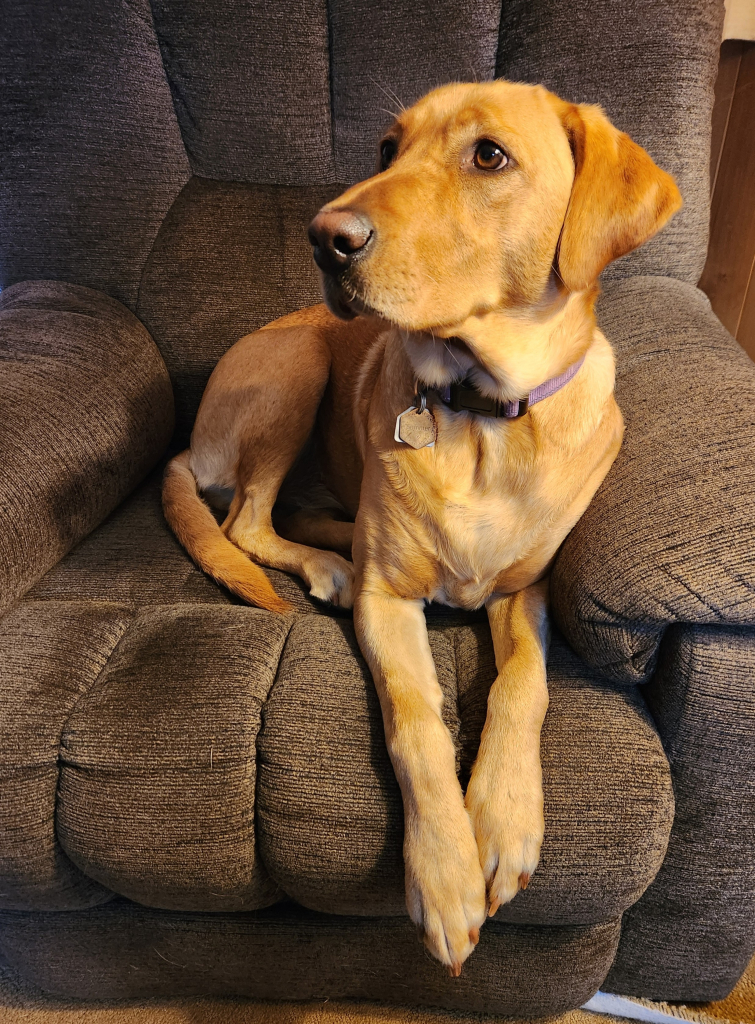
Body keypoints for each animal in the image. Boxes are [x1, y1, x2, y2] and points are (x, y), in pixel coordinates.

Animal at [161, 79, 680, 974]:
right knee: (243, 522)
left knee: (281, 513)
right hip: (298, 365)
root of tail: (191, 443)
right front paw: (443, 872)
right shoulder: (390, 606)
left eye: (488, 155)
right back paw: (331, 566)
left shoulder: (525, 594)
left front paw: (502, 820)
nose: (325, 238)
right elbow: (414, 721)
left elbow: (523, 685)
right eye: (386, 148)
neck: (480, 414)